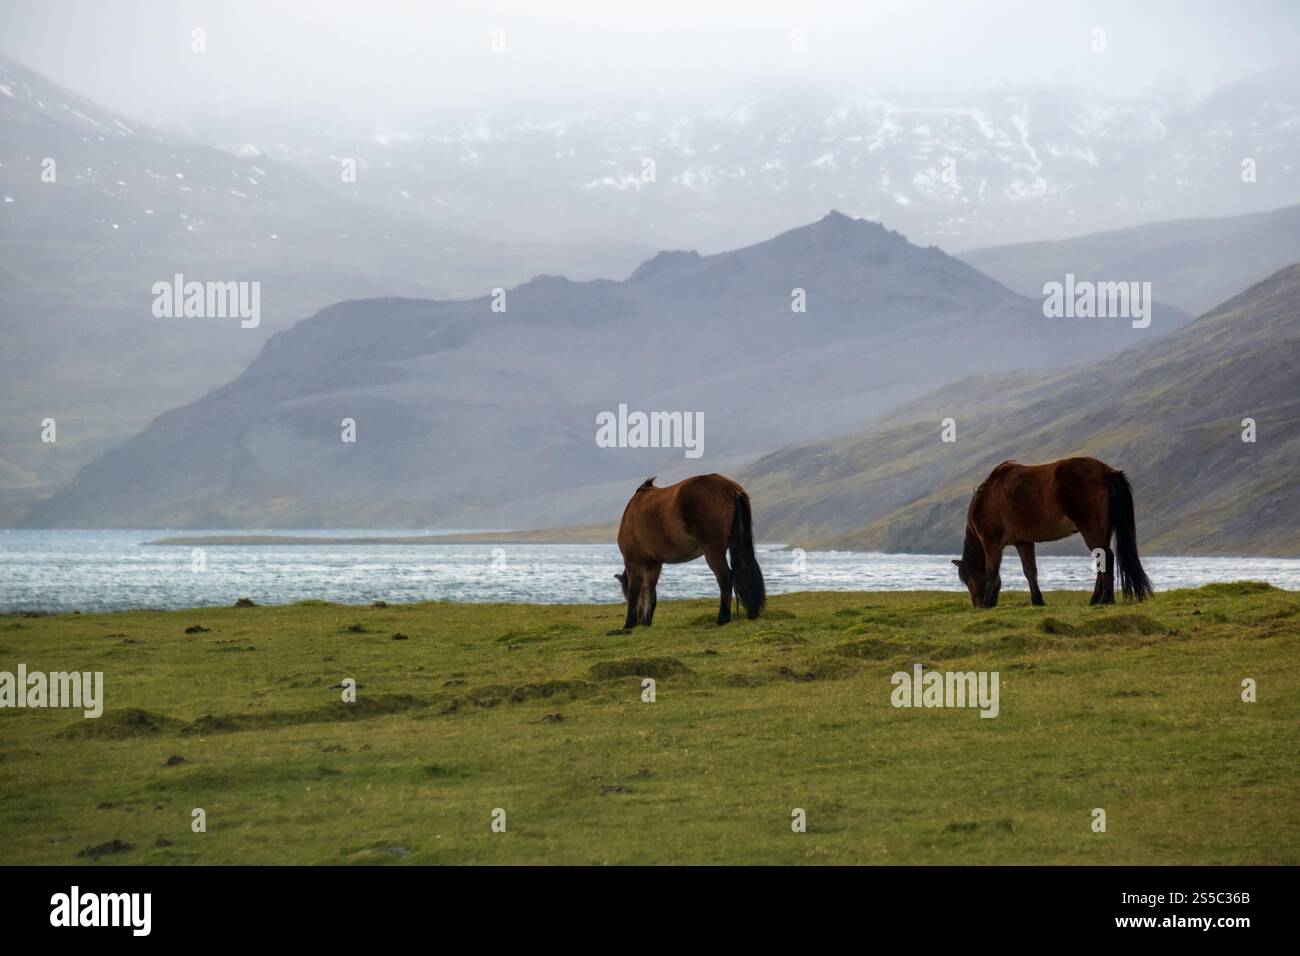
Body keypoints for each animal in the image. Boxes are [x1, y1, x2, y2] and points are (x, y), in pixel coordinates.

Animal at [615, 474, 766, 628]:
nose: (641, 620)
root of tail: (730, 488)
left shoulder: (633, 560)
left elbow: (634, 590)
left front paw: (629, 624)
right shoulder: (654, 563)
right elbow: (650, 590)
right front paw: (647, 621)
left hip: (713, 550)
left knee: (725, 576)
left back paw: (722, 618)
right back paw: (751, 613)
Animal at [953, 456, 1153, 608]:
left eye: (968, 579)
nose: (977, 605)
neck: (986, 500)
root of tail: (1106, 471)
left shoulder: (992, 542)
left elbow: (992, 571)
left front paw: (988, 602)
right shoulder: (1023, 542)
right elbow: (1030, 571)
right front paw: (1037, 600)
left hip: (1091, 529)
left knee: (1107, 557)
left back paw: (1106, 599)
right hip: (1105, 530)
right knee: (1101, 560)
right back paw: (1095, 599)